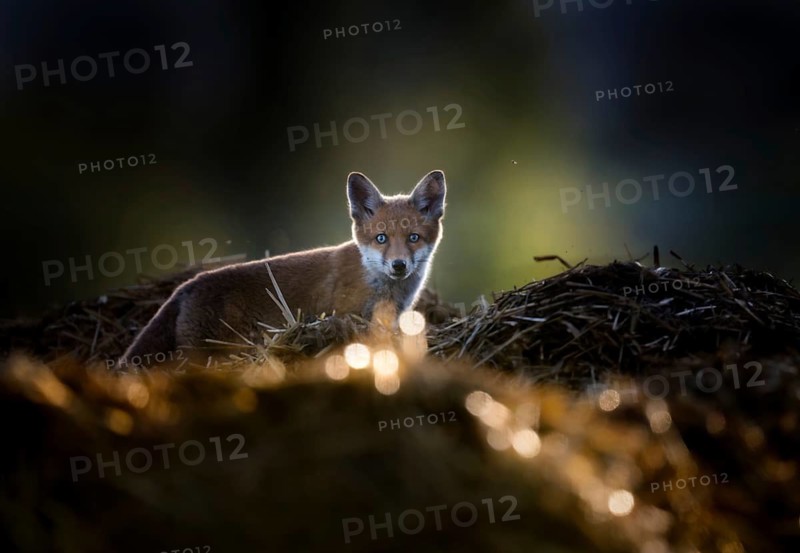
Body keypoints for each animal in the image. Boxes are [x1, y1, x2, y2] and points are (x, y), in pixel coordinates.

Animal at [118, 170, 446, 368]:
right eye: (381, 238)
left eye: (413, 238)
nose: (399, 265)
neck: (382, 285)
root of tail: (185, 286)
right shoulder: (347, 315)